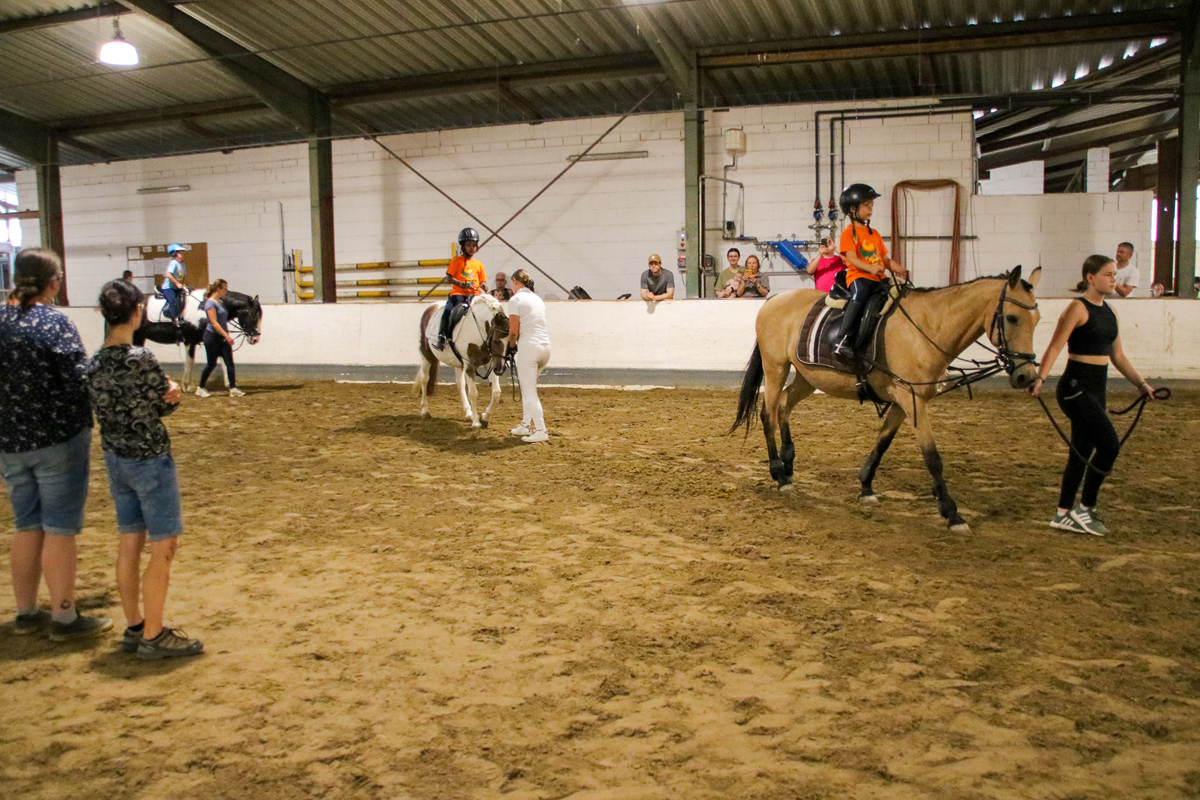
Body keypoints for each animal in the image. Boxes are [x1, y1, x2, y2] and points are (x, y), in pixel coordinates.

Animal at [137, 289, 266, 388]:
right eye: (254, 316)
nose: (255, 339)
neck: (204, 309)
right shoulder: (190, 340)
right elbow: (190, 362)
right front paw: (187, 385)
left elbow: (224, 361)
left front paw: (229, 383)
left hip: (140, 337)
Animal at [417, 293, 511, 429]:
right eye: (496, 340)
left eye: (511, 341)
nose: (501, 369)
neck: (478, 330)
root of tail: (432, 306)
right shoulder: (470, 366)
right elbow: (473, 393)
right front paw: (476, 422)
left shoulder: (489, 363)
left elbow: (496, 392)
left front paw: (485, 417)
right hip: (426, 355)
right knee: (424, 379)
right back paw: (425, 411)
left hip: (458, 363)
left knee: (460, 384)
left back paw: (468, 413)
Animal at [729, 268, 1041, 532]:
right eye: (1012, 317)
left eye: (1037, 320)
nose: (1026, 376)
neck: (927, 328)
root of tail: (774, 301)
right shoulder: (912, 399)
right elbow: (932, 458)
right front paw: (952, 513)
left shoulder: (904, 401)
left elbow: (883, 442)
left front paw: (866, 486)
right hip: (776, 367)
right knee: (768, 414)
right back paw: (779, 475)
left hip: (807, 377)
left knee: (783, 406)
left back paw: (788, 462)